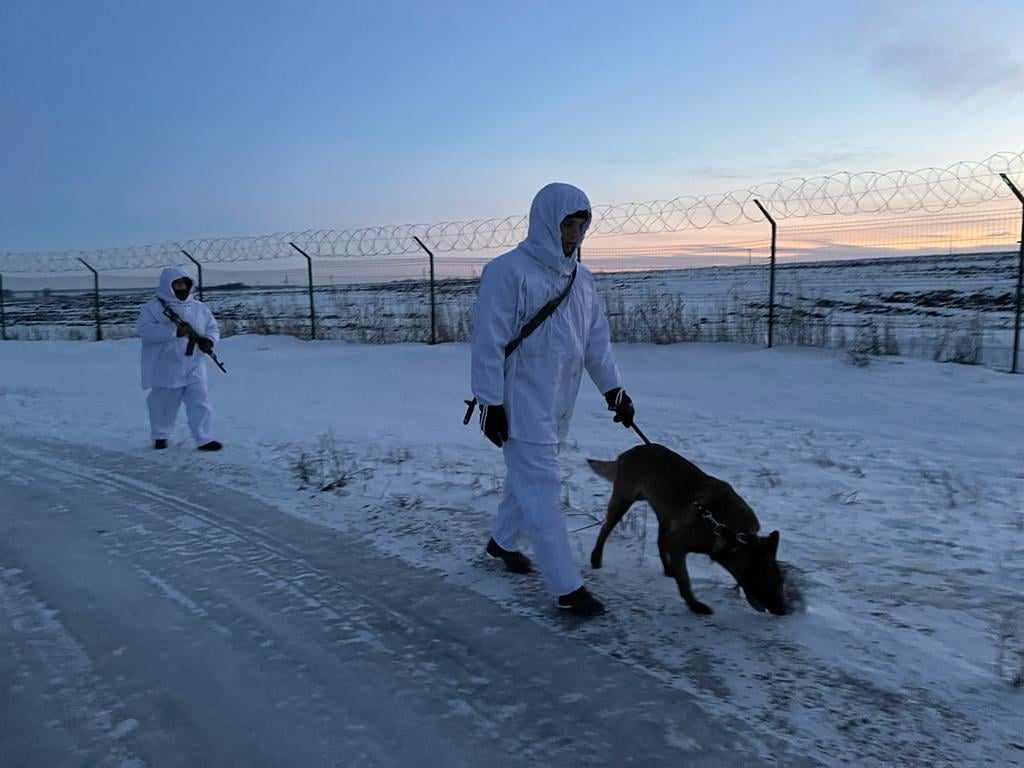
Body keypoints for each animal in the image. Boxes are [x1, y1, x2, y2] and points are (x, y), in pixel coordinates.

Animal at [589, 442, 786, 618]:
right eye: (765, 579)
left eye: (780, 581)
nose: (783, 611)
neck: (725, 529)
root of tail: (629, 452)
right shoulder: (678, 545)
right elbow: (685, 581)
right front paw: (694, 605)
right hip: (622, 502)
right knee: (605, 529)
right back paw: (596, 559)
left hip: (664, 515)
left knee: (660, 541)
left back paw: (668, 570)